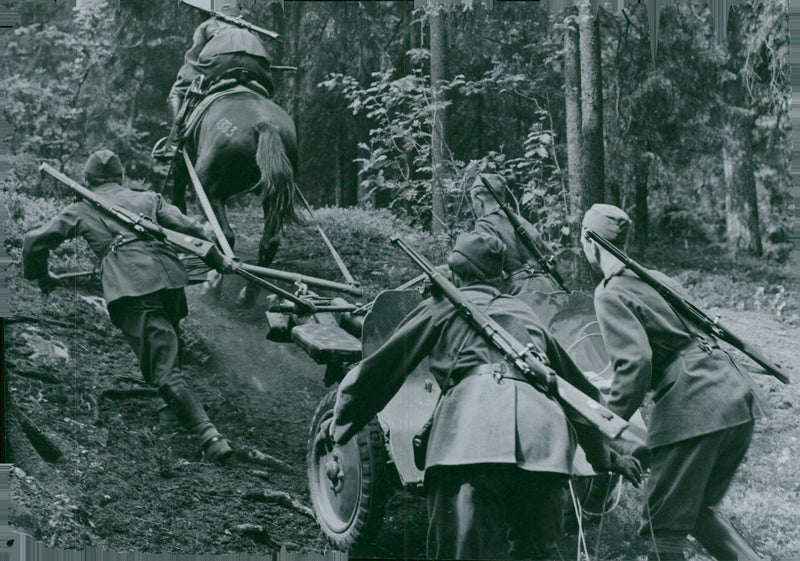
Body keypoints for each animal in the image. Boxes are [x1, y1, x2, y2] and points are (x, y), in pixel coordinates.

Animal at [172, 88, 304, 306]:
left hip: (208, 191)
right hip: (273, 196)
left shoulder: (182, 166)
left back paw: (213, 286)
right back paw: (248, 294)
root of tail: (263, 124)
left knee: (226, 235)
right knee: (269, 242)